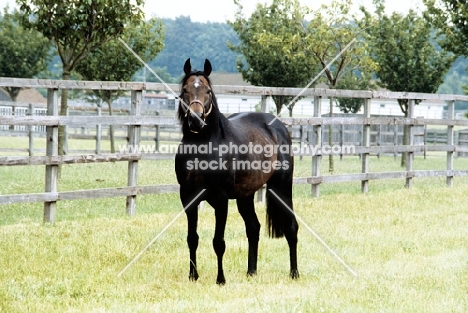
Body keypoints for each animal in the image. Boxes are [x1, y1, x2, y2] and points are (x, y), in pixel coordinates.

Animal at [174, 58, 298, 282]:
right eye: (185, 90)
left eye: (208, 91)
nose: (196, 120)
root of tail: (278, 127)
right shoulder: (188, 197)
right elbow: (192, 238)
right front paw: (193, 276)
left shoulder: (221, 199)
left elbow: (218, 242)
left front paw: (220, 280)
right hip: (245, 196)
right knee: (253, 228)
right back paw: (251, 271)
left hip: (282, 187)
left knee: (291, 227)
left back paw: (294, 273)